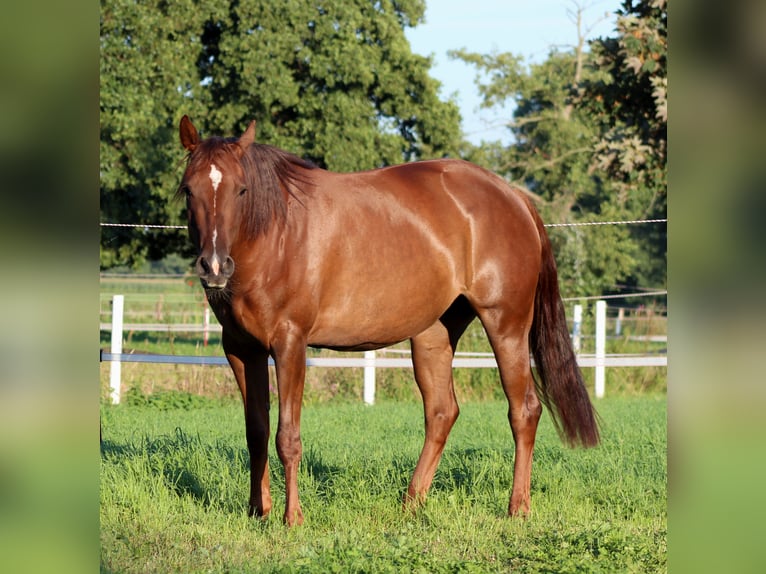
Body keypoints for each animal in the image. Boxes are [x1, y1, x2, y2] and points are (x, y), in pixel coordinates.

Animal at [176, 115, 599, 526]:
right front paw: (257, 511)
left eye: (241, 190)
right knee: (441, 413)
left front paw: (292, 517)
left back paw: (517, 509)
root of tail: (514, 197)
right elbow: (256, 431)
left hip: (506, 324)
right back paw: (411, 504)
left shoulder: (290, 344)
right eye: (189, 190)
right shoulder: (241, 349)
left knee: (523, 410)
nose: (214, 266)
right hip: (434, 334)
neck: (276, 234)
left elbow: (287, 436)